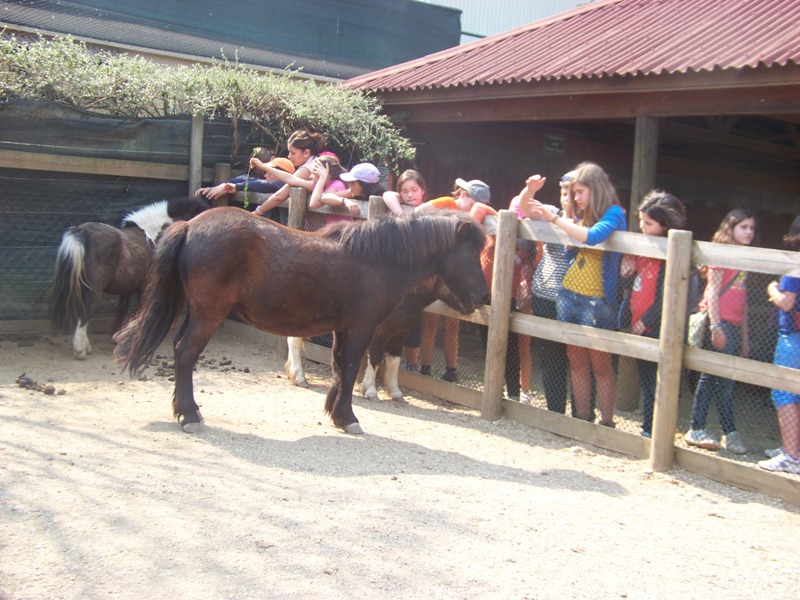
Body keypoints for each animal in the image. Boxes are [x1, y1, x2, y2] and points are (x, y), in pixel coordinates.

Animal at [51, 197, 211, 358]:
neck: (154, 237)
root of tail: (82, 231)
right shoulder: (145, 288)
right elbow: (139, 311)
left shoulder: (127, 288)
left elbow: (122, 309)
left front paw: (115, 336)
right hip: (94, 290)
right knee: (85, 311)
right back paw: (80, 350)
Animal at [112, 209, 488, 434]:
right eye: (472, 253)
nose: (484, 295)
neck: (376, 260)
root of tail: (190, 225)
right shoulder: (362, 328)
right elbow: (351, 367)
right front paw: (348, 417)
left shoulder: (343, 328)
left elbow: (340, 369)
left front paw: (336, 414)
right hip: (209, 315)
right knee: (185, 353)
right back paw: (189, 414)